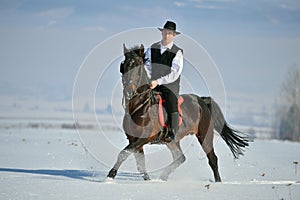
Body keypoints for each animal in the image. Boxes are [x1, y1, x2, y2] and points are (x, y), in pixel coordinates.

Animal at [106, 44, 250, 183]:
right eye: (123, 65)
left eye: (137, 65)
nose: (128, 91)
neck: (140, 107)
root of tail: (202, 101)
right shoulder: (134, 139)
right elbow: (140, 162)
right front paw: (147, 180)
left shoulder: (144, 138)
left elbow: (124, 153)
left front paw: (110, 176)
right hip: (173, 141)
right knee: (180, 158)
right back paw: (163, 177)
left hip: (205, 135)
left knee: (212, 159)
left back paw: (218, 182)